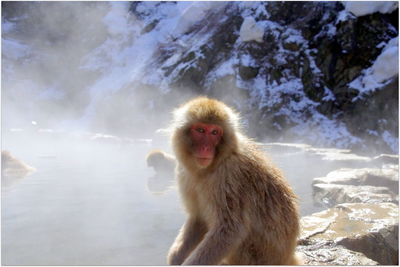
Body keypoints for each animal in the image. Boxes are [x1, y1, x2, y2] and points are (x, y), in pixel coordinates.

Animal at [166, 97, 300, 266]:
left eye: (215, 132)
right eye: (201, 130)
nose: (206, 148)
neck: (210, 167)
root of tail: (287, 258)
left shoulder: (229, 177)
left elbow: (230, 230)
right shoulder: (184, 172)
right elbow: (198, 218)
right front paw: (175, 258)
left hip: (255, 257)